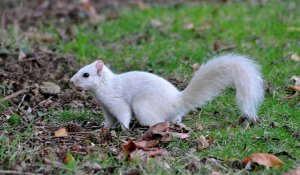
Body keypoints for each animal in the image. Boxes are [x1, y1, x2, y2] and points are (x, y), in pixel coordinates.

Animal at [69, 54, 262, 129]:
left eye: (86, 74)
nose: (71, 81)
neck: (104, 86)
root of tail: (176, 102)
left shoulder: (116, 100)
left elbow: (123, 114)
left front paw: (123, 129)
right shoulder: (106, 107)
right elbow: (109, 119)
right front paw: (104, 128)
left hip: (143, 106)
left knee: (159, 121)